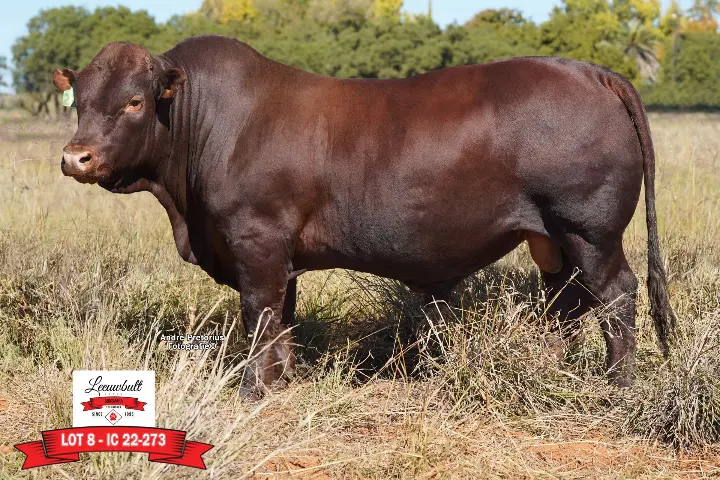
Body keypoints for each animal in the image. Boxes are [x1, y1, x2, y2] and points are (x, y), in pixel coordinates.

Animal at [53, 35, 676, 395]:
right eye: (79, 100)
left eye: (135, 100)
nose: (76, 157)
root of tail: (588, 70)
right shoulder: (280, 253)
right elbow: (282, 318)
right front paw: (282, 381)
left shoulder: (255, 239)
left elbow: (258, 315)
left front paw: (253, 390)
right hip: (549, 236)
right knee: (566, 298)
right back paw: (556, 365)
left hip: (588, 228)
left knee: (615, 294)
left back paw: (618, 385)